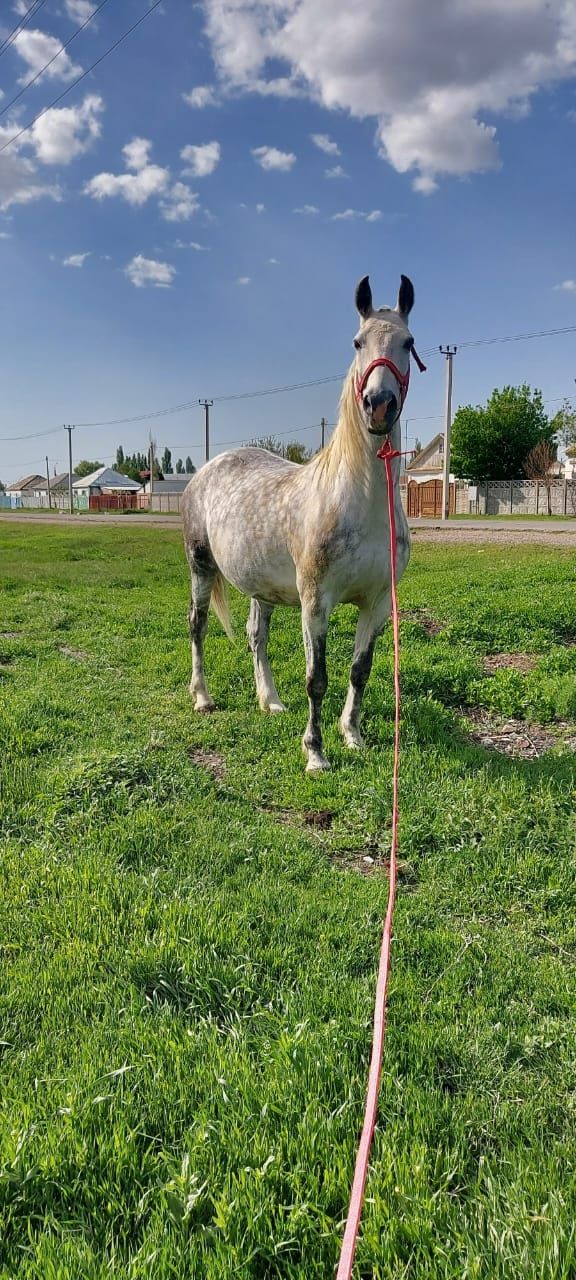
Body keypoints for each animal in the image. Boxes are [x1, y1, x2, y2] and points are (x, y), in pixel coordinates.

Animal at [181, 272, 419, 768]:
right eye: (357, 342)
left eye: (408, 342)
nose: (378, 404)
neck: (360, 503)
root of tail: (208, 470)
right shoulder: (316, 602)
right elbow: (317, 678)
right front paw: (316, 752)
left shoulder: (376, 603)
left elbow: (360, 670)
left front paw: (352, 734)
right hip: (201, 567)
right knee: (198, 625)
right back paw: (203, 697)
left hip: (261, 586)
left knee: (256, 636)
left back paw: (269, 701)